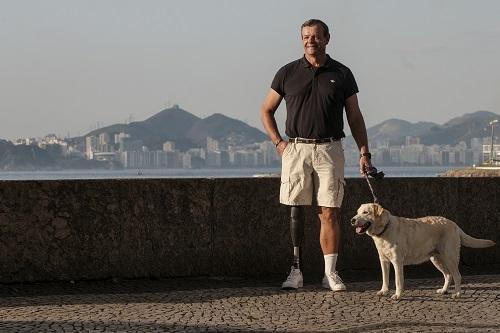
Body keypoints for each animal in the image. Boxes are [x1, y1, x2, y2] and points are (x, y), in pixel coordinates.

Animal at [352, 202, 496, 298]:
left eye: (365, 212)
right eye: (357, 212)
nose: (352, 220)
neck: (384, 230)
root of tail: (454, 224)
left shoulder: (397, 262)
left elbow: (398, 281)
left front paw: (397, 295)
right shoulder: (384, 261)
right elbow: (385, 278)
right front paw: (384, 291)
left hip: (449, 258)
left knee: (457, 276)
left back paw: (457, 294)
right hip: (436, 259)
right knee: (448, 275)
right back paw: (443, 290)